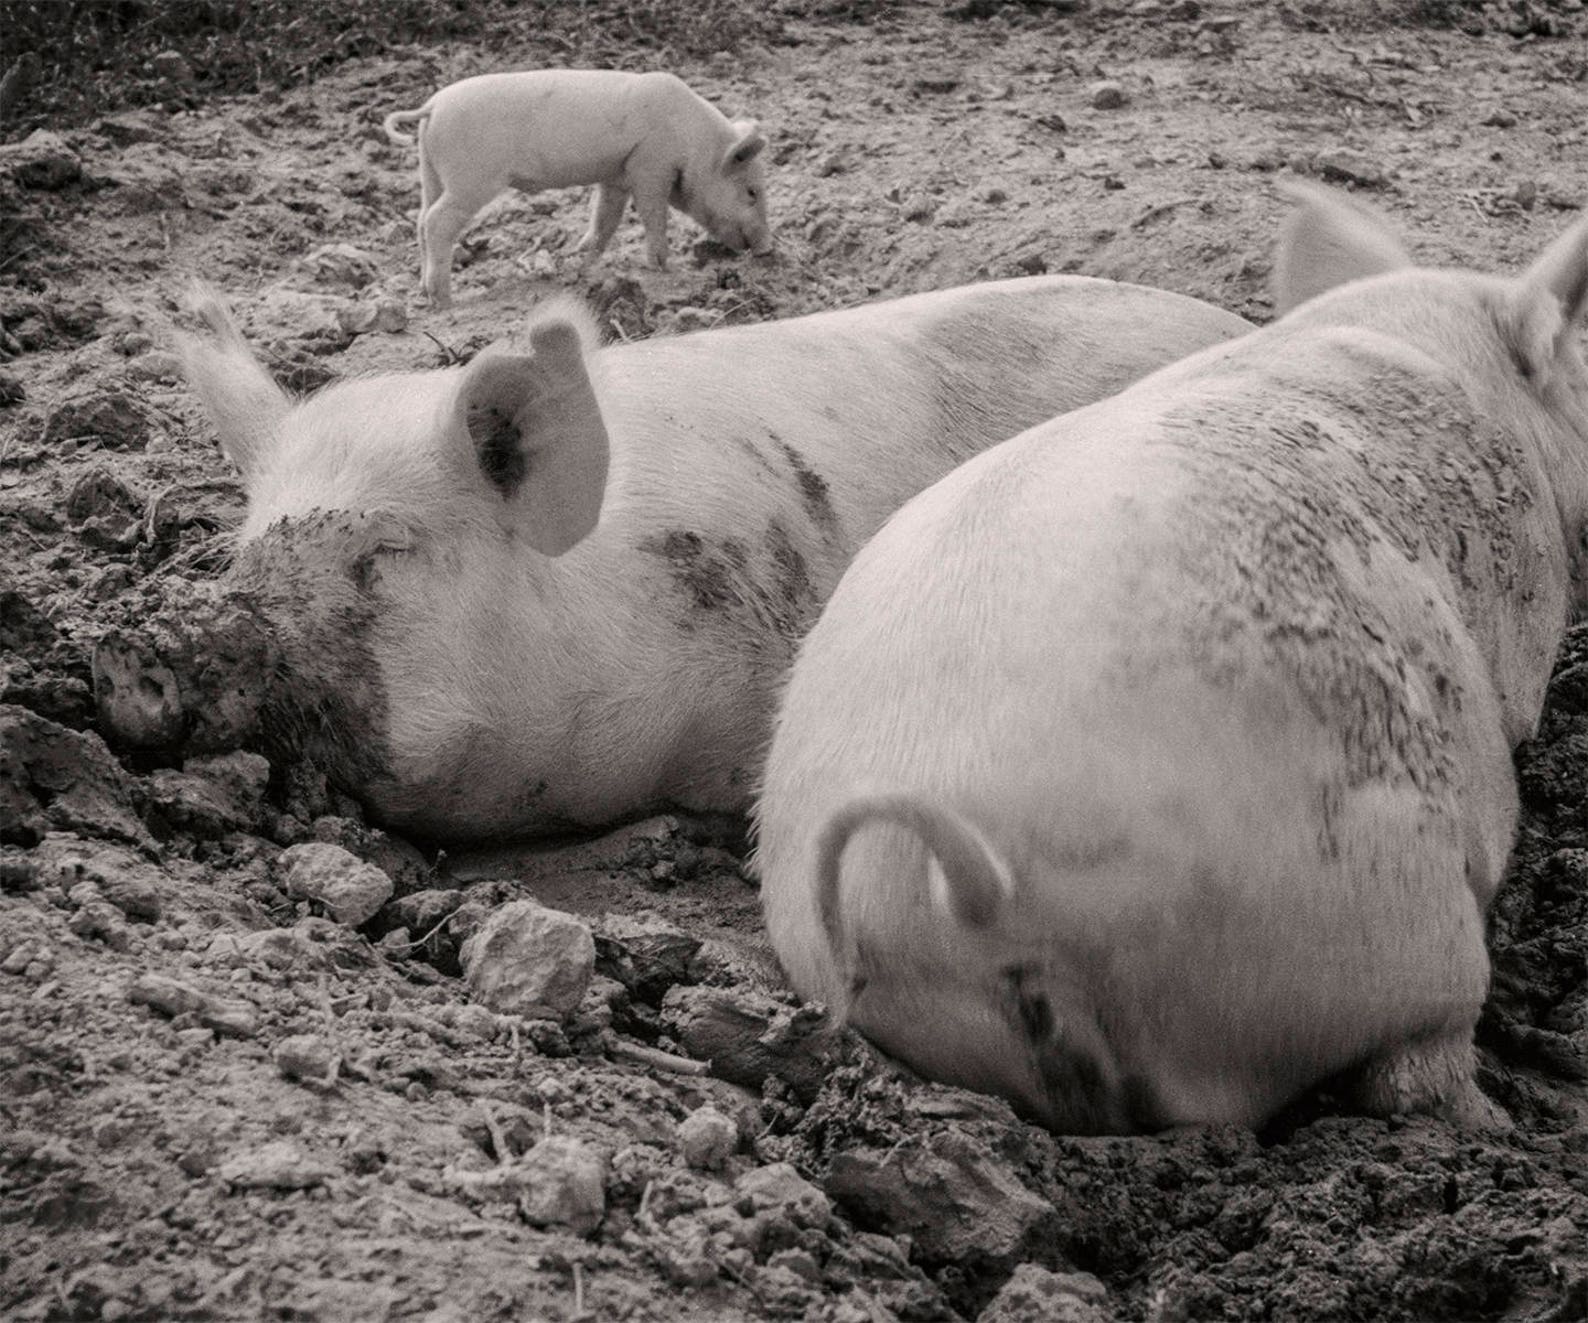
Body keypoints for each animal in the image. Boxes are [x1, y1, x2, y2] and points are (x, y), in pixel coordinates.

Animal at [381, 70, 772, 307]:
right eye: (752, 192)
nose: (768, 250)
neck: (694, 145)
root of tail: (433, 106)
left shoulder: (616, 174)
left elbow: (606, 218)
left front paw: (579, 261)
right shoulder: (650, 164)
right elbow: (652, 213)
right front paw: (663, 267)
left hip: (430, 171)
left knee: (420, 219)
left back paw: (423, 292)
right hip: (470, 178)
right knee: (436, 221)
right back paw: (444, 300)